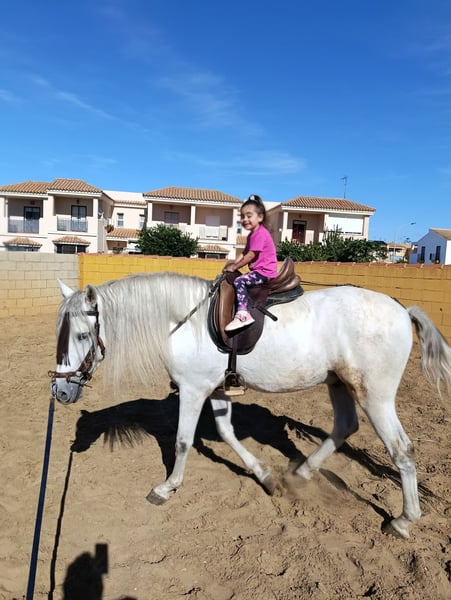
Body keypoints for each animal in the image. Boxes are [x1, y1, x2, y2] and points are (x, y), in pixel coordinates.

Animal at [50, 271, 451, 539]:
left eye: (83, 335)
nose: (60, 392)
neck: (183, 323)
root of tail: (402, 310)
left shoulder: (193, 389)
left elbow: (182, 441)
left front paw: (167, 488)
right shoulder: (216, 390)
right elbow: (227, 433)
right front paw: (265, 476)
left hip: (375, 396)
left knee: (401, 450)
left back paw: (403, 520)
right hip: (339, 384)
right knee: (344, 427)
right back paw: (302, 472)